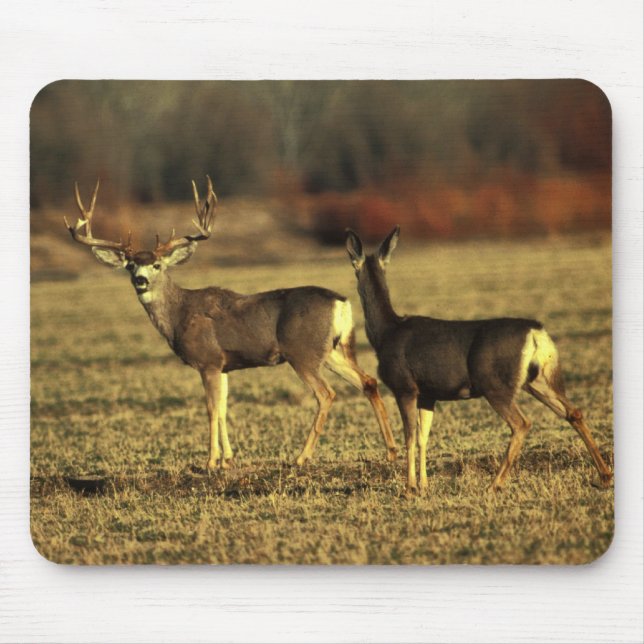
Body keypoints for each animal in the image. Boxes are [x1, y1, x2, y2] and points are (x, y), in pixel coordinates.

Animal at [64, 177, 398, 472]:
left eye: (157, 264)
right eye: (130, 265)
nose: (141, 281)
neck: (179, 314)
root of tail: (341, 303)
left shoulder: (208, 360)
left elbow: (212, 409)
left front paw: (210, 462)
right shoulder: (224, 365)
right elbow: (224, 408)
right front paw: (228, 459)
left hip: (303, 353)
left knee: (326, 394)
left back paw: (302, 457)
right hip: (333, 350)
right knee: (368, 381)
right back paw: (391, 450)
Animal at [345, 226, 613, 495]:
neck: (386, 333)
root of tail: (536, 333)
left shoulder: (404, 386)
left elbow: (410, 437)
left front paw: (410, 488)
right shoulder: (428, 393)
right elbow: (423, 438)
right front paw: (424, 485)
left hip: (494, 383)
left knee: (522, 423)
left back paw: (494, 484)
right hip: (538, 380)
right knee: (573, 412)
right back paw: (604, 476)